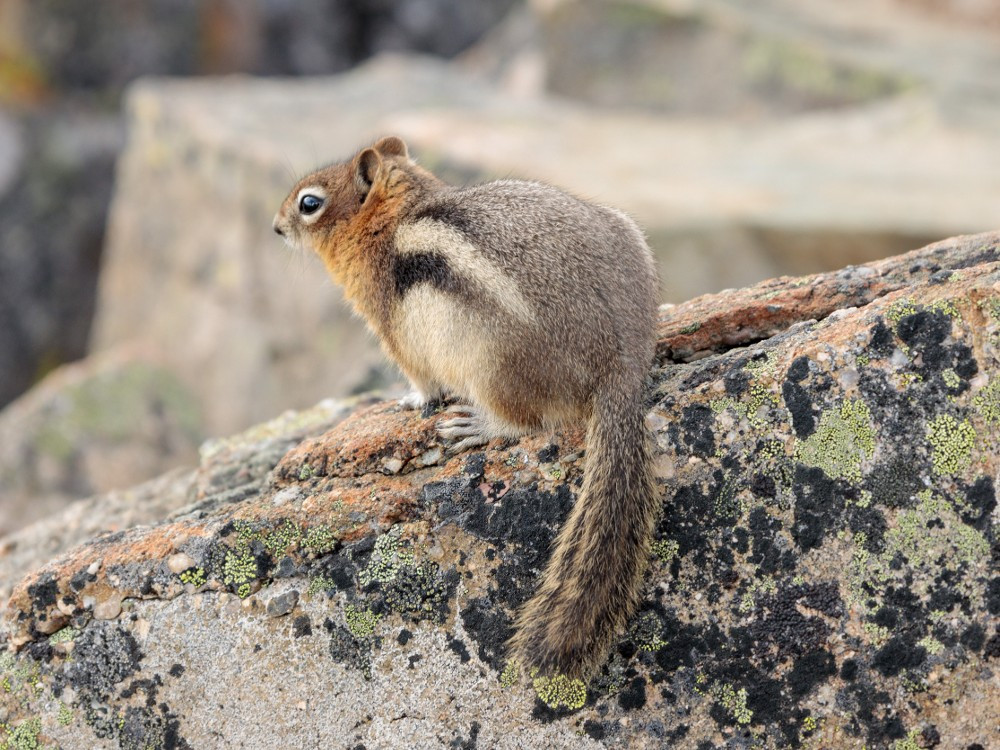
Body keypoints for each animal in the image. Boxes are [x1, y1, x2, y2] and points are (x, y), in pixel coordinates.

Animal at [276, 135, 664, 680]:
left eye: (309, 203)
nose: (275, 225)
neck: (396, 217)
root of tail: (623, 366)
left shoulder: (395, 335)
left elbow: (421, 380)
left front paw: (410, 400)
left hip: (489, 363)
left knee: (526, 421)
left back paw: (477, 424)